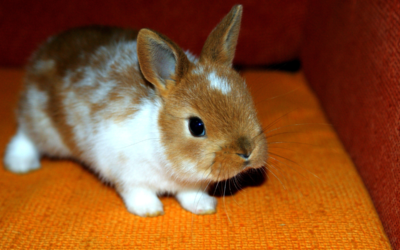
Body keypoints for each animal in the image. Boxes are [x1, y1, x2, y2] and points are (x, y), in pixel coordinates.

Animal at [3, 5, 268, 217]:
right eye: (196, 126)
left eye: (248, 101)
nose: (247, 152)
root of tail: (47, 47)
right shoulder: (124, 171)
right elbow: (136, 192)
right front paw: (150, 210)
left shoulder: (189, 184)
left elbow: (190, 194)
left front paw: (204, 207)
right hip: (42, 122)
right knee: (25, 135)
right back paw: (20, 164)